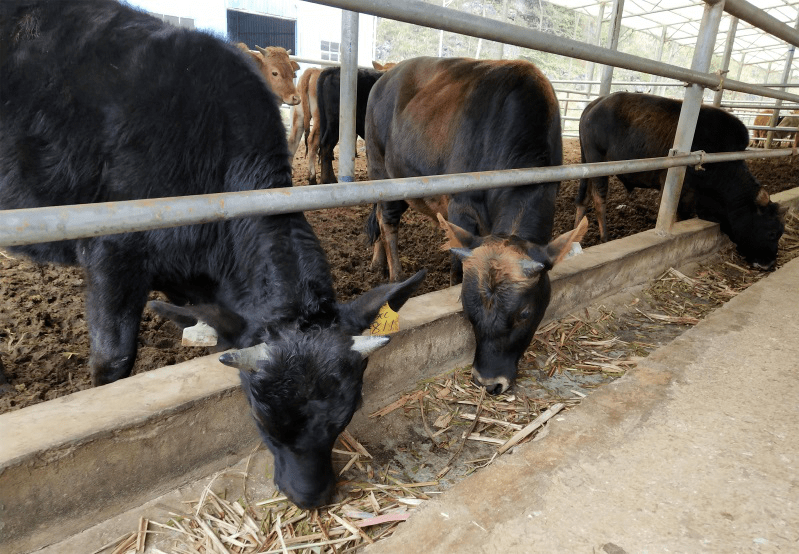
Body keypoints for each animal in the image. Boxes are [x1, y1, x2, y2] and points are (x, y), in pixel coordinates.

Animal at [364, 57, 588, 392]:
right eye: (468, 308)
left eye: (525, 313)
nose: (488, 381)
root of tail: (387, 74)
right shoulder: (461, 207)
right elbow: (457, 268)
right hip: (383, 173)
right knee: (387, 220)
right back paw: (395, 274)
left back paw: (378, 262)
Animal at [580, 91, 784, 268]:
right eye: (772, 232)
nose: (769, 264)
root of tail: (596, 103)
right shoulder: (680, 193)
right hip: (598, 162)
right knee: (599, 198)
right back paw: (605, 237)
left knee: (583, 197)